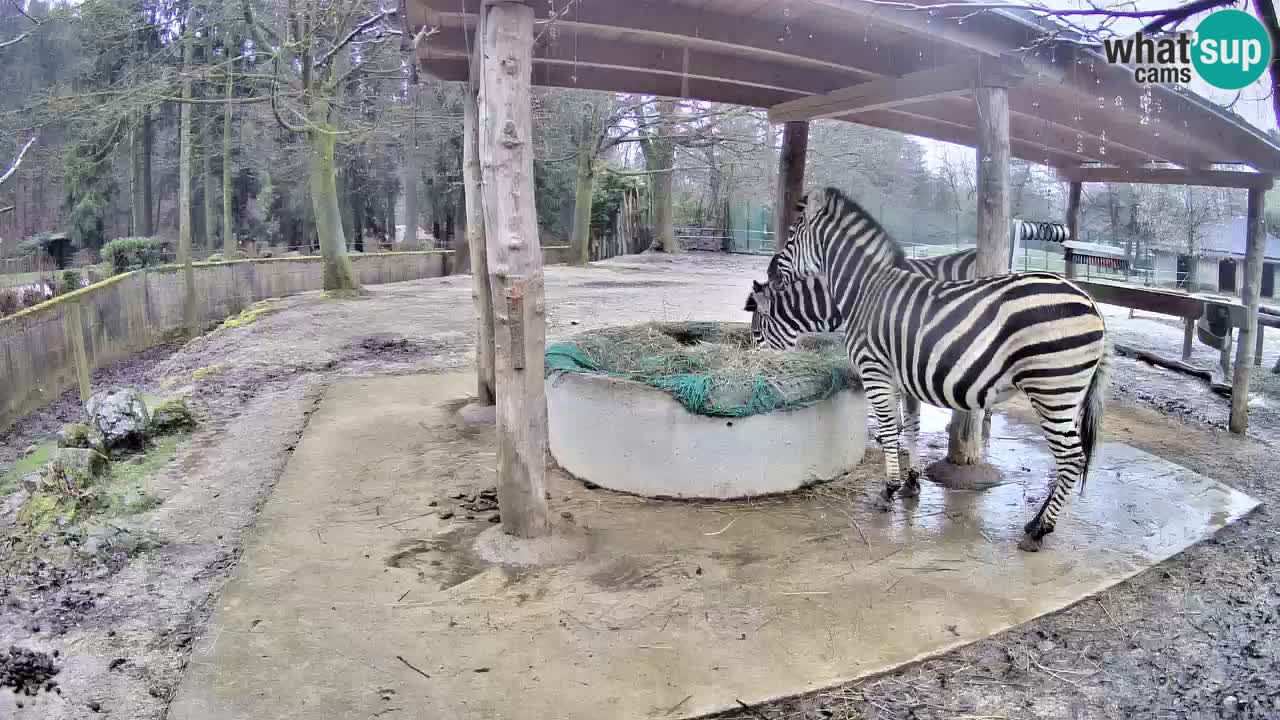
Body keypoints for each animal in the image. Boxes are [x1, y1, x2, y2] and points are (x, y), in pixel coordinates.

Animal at [757, 188, 1111, 550]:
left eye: (791, 233)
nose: (769, 271)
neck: (864, 291)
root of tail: (1090, 301)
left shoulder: (875, 371)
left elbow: (889, 431)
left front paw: (888, 490)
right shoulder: (905, 378)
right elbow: (910, 430)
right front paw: (911, 483)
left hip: (1052, 389)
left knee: (1072, 458)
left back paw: (1039, 530)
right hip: (1065, 393)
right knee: (1066, 459)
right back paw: (1037, 523)